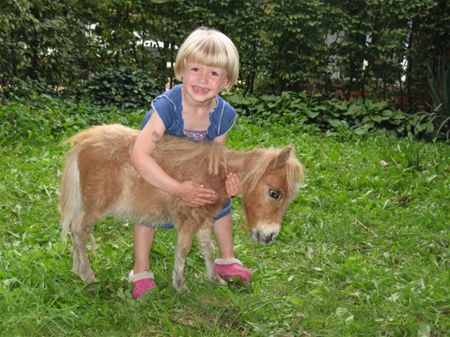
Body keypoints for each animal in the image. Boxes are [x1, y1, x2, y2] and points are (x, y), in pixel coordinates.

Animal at [59, 123, 304, 292]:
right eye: (274, 193)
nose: (269, 236)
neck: (215, 173)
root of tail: (84, 143)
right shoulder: (189, 219)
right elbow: (183, 249)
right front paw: (180, 286)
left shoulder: (204, 220)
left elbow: (209, 249)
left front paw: (215, 280)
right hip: (96, 206)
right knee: (80, 230)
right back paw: (88, 276)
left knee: (75, 231)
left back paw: (77, 271)